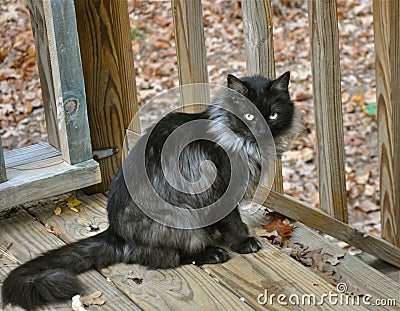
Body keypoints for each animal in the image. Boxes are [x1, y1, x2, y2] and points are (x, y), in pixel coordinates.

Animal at [0, 72, 300, 310]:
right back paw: (213, 253)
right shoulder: (223, 192)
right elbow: (233, 223)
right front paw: (243, 242)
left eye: (272, 114)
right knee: (173, 257)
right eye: (248, 115)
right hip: (184, 219)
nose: (261, 127)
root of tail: (115, 233)